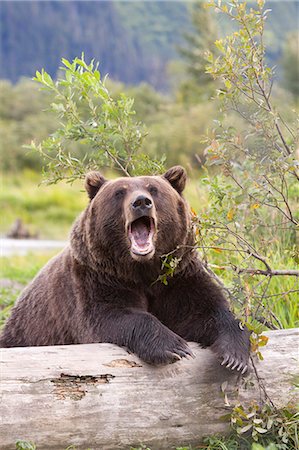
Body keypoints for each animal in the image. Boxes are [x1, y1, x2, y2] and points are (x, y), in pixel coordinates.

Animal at [0, 167, 251, 370]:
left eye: (153, 189)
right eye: (119, 192)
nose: (141, 202)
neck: (141, 269)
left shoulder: (177, 276)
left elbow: (205, 310)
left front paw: (236, 356)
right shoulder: (96, 279)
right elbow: (111, 315)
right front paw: (174, 346)